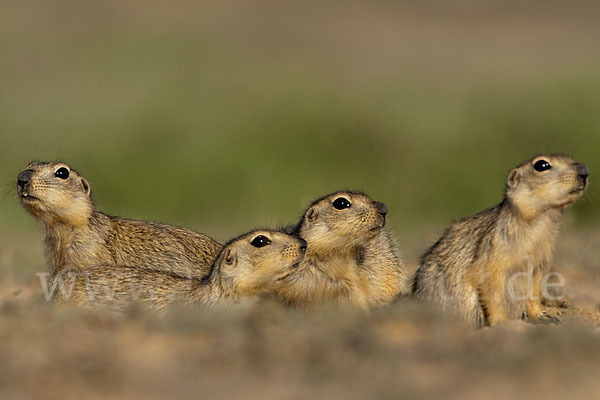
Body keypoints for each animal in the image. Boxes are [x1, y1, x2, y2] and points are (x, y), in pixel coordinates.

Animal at [414, 155, 588, 326]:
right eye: (541, 165)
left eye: (571, 157)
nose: (585, 171)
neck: (543, 220)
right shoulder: (495, 251)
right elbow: (493, 292)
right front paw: (503, 322)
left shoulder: (541, 263)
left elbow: (534, 291)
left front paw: (542, 317)